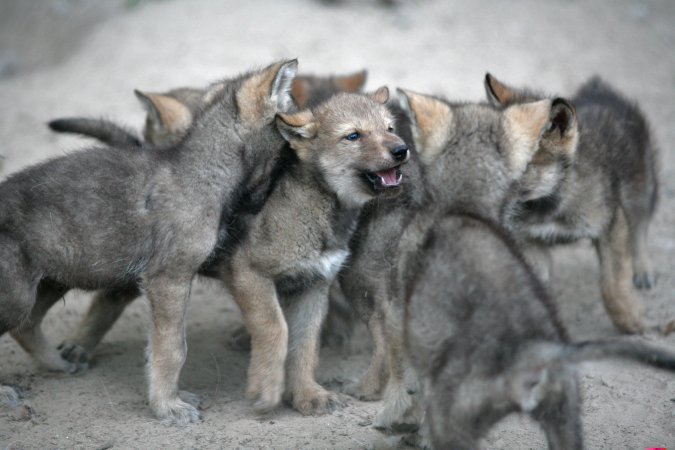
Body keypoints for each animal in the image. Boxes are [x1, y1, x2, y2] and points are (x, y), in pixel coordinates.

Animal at [0, 59, 298, 422]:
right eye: (289, 132)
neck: (202, 173)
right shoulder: (168, 278)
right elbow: (173, 348)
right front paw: (168, 407)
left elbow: (158, 346)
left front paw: (168, 399)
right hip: (18, 294)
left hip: (52, 279)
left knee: (26, 325)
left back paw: (59, 364)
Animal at [484, 74, 664, 334]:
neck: (547, 202)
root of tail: (599, 88)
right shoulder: (529, 242)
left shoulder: (612, 224)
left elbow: (612, 284)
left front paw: (632, 320)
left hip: (642, 187)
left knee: (640, 229)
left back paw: (643, 270)